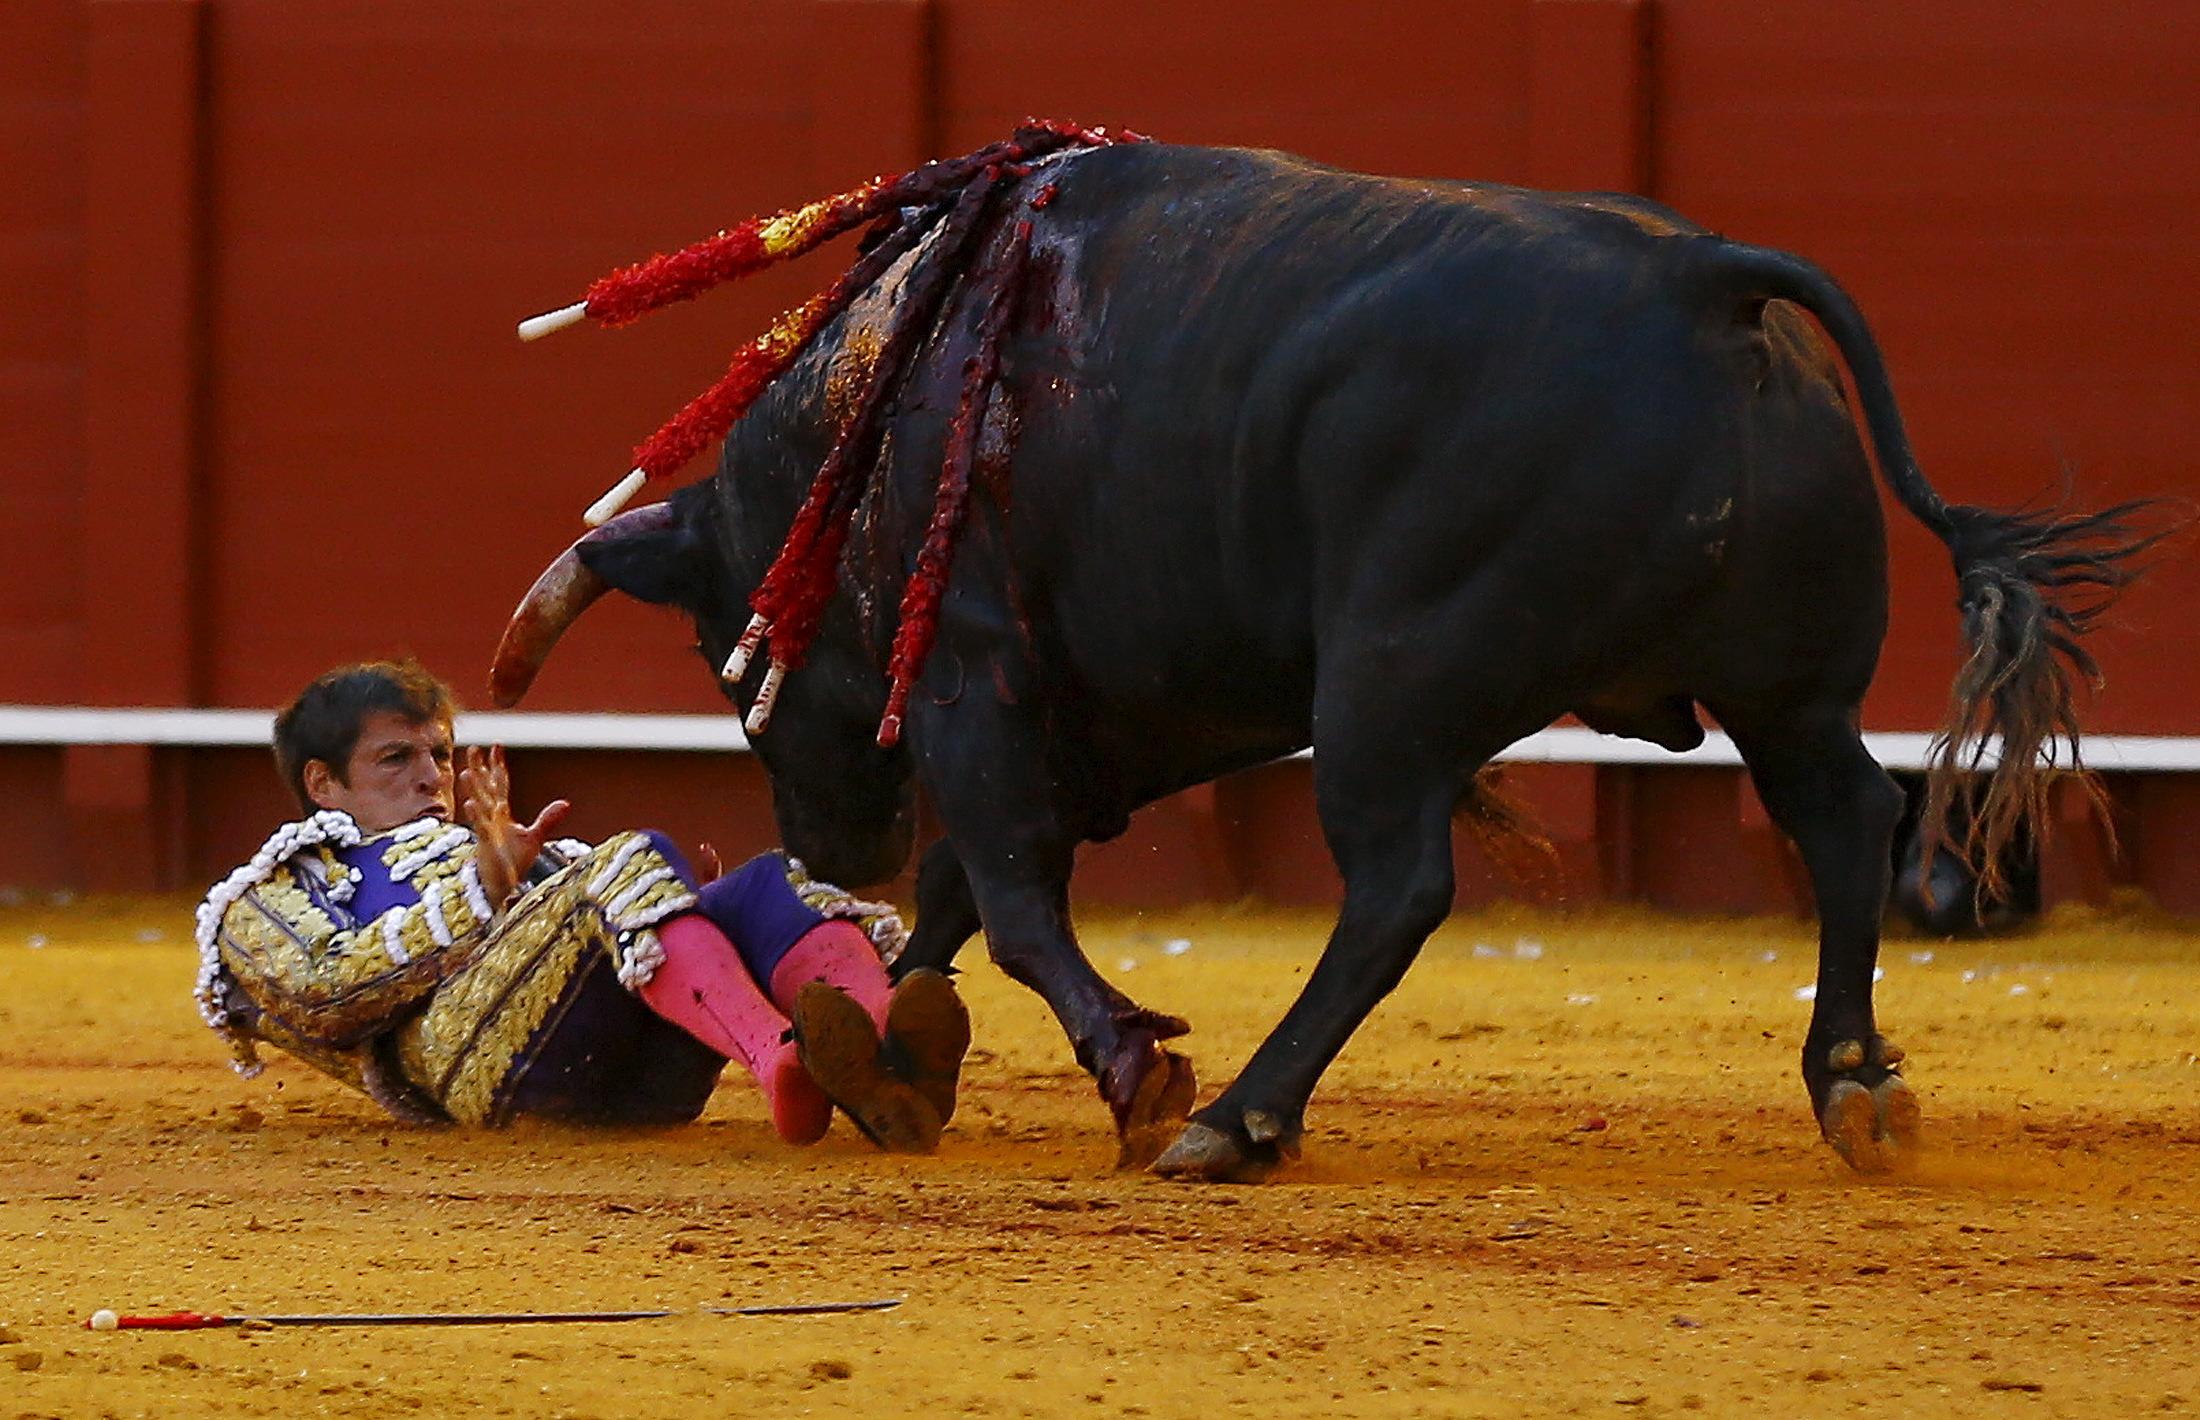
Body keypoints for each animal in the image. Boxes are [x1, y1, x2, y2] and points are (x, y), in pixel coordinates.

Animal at [490, 144, 2156, 1180]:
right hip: (1785, 689)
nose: (829, 849)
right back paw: (1857, 1083)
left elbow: (1014, 902)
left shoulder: (977, 685)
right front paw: (888, 1056)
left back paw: (1236, 1119)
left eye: (729, 663)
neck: (878, 405)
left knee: (1399, 887)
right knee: (1847, 820)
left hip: (1389, 691)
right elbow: (967, 896)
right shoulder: (1086, 717)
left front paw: (1129, 1071)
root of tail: (1704, 280)